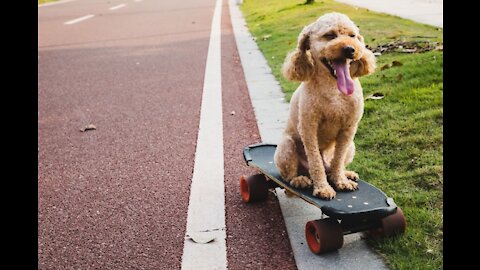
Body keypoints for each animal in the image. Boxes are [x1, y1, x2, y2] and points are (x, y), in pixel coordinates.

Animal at [272, 12, 376, 200]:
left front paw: (341, 181)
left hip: (351, 146)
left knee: (333, 165)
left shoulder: (349, 129)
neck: (333, 88)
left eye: (352, 36)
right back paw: (300, 180)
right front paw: (323, 188)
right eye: (330, 35)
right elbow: (315, 162)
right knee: (289, 176)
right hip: (286, 146)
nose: (350, 49)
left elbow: (338, 159)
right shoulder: (309, 128)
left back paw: (345, 173)